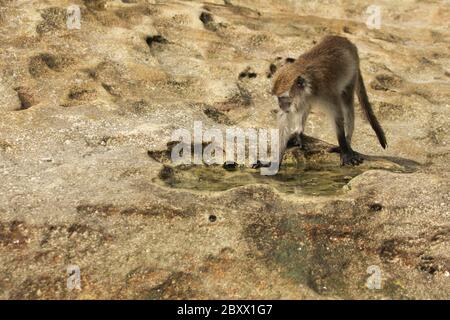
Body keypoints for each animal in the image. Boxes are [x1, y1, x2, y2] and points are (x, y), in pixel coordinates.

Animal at [270, 35, 386, 166]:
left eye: (283, 98)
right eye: (278, 99)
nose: (281, 106)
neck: (310, 84)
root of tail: (346, 41)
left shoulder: (327, 93)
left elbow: (338, 117)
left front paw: (344, 150)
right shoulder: (302, 97)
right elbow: (285, 119)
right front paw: (274, 160)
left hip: (352, 74)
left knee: (347, 103)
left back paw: (347, 142)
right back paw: (299, 132)